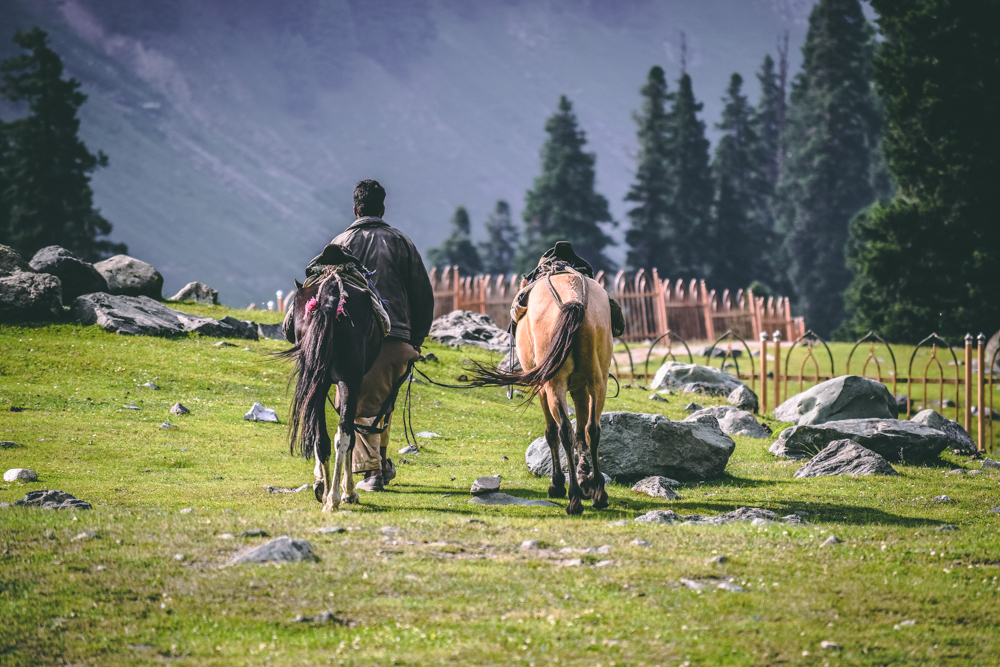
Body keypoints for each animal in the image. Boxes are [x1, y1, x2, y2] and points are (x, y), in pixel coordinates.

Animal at [278, 246, 383, 512]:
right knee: (343, 435)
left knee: (323, 438)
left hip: (321, 378)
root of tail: (331, 291)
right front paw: (348, 491)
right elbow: (351, 434)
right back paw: (336, 497)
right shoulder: (354, 383)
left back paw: (327, 494)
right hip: (349, 380)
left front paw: (320, 483)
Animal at [471, 267, 613, 515]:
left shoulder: (542, 387)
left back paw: (573, 497)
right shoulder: (580, 387)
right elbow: (581, 433)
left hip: (553, 384)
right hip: (598, 380)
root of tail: (574, 298)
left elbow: (551, 431)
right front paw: (585, 478)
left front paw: (559, 484)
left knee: (563, 431)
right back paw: (599, 493)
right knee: (592, 430)